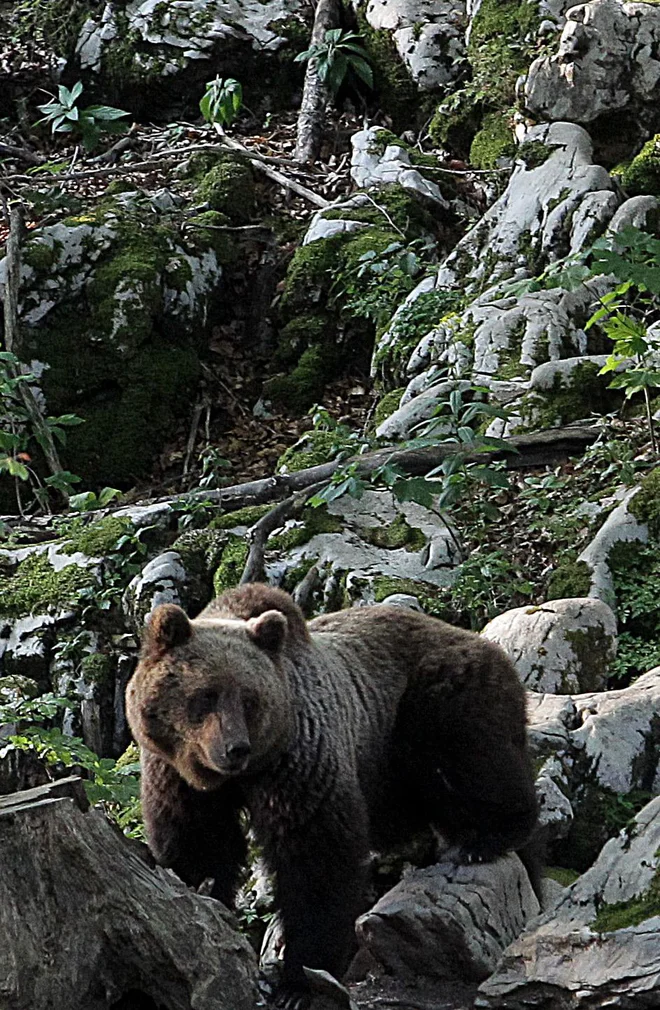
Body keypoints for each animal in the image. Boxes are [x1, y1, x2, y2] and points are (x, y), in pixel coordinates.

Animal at [126, 585, 537, 1010]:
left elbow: (316, 861)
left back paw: (483, 839)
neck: (234, 777)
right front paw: (203, 894)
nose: (235, 749)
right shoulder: (177, 777)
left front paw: (298, 981)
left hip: (430, 700)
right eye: (206, 696)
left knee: (472, 758)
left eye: (250, 699)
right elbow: (198, 844)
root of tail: (481, 639)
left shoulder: (298, 761)